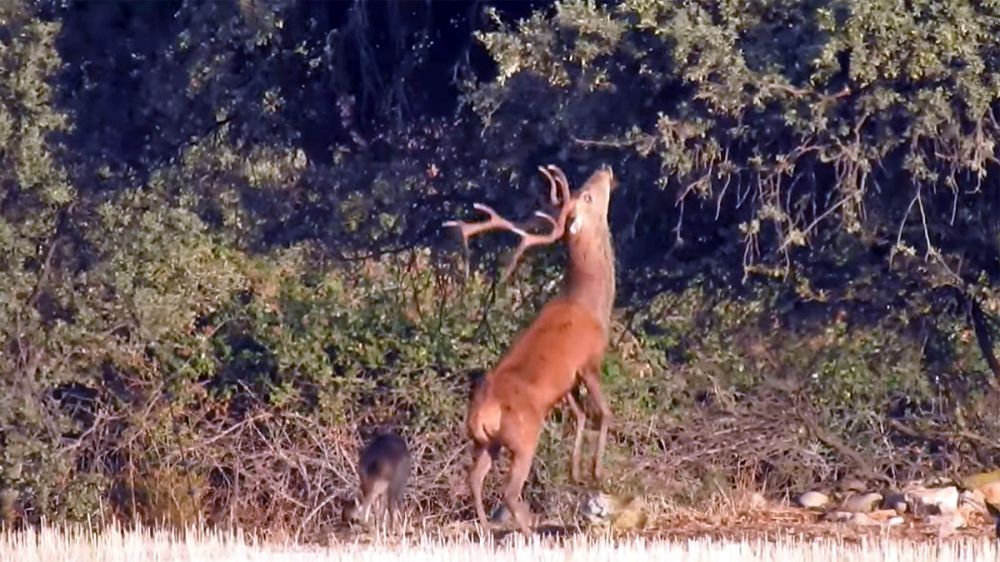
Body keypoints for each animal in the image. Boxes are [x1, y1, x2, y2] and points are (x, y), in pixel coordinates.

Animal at [446, 164, 616, 532]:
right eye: (587, 196)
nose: (606, 169)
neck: (591, 303)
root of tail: (482, 412)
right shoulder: (590, 362)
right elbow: (603, 412)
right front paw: (597, 471)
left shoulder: (567, 381)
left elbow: (581, 415)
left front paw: (576, 472)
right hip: (524, 439)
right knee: (509, 493)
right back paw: (528, 532)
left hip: (486, 442)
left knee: (474, 479)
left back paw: (486, 530)